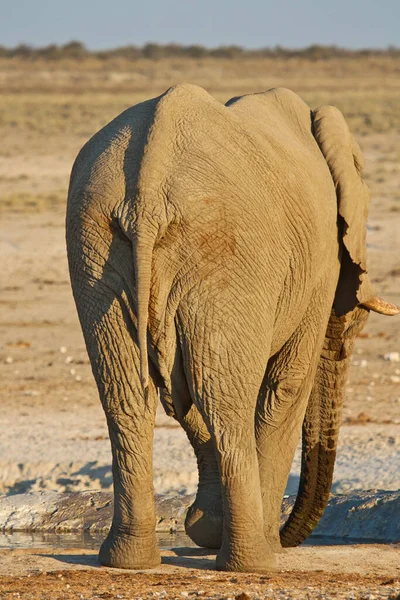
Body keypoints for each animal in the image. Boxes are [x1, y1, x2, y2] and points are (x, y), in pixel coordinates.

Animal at [65, 84, 396, 572]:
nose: (286, 537)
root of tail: (148, 188)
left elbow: (181, 394)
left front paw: (203, 528)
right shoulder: (317, 265)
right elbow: (286, 386)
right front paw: (253, 540)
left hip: (95, 245)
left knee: (129, 396)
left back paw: (128, 560)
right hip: (227, 251)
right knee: (223, 400)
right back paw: (254, 561)